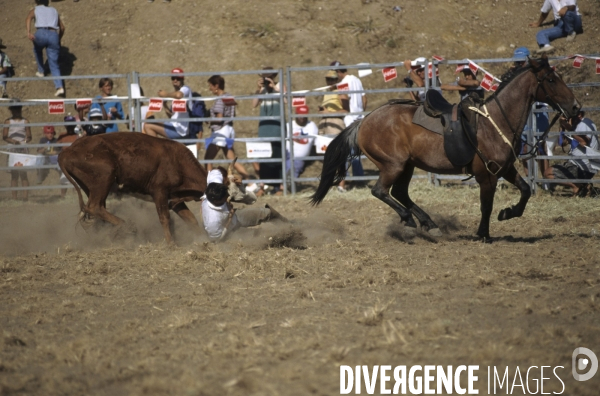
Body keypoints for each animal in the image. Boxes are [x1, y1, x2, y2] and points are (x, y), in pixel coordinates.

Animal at [312, 57, 580, 240]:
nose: (576, 107)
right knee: (381, 191)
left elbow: (524, 191)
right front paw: (483, 234)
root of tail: (364, 121)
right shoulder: (486, 176)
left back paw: (429, 224)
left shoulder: (503, 169)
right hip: (393, 165)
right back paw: (409, 219)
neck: (493, 122)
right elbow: (486, 205)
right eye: (552, 79)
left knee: (399, 193)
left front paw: (507, 213)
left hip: (407, 166)